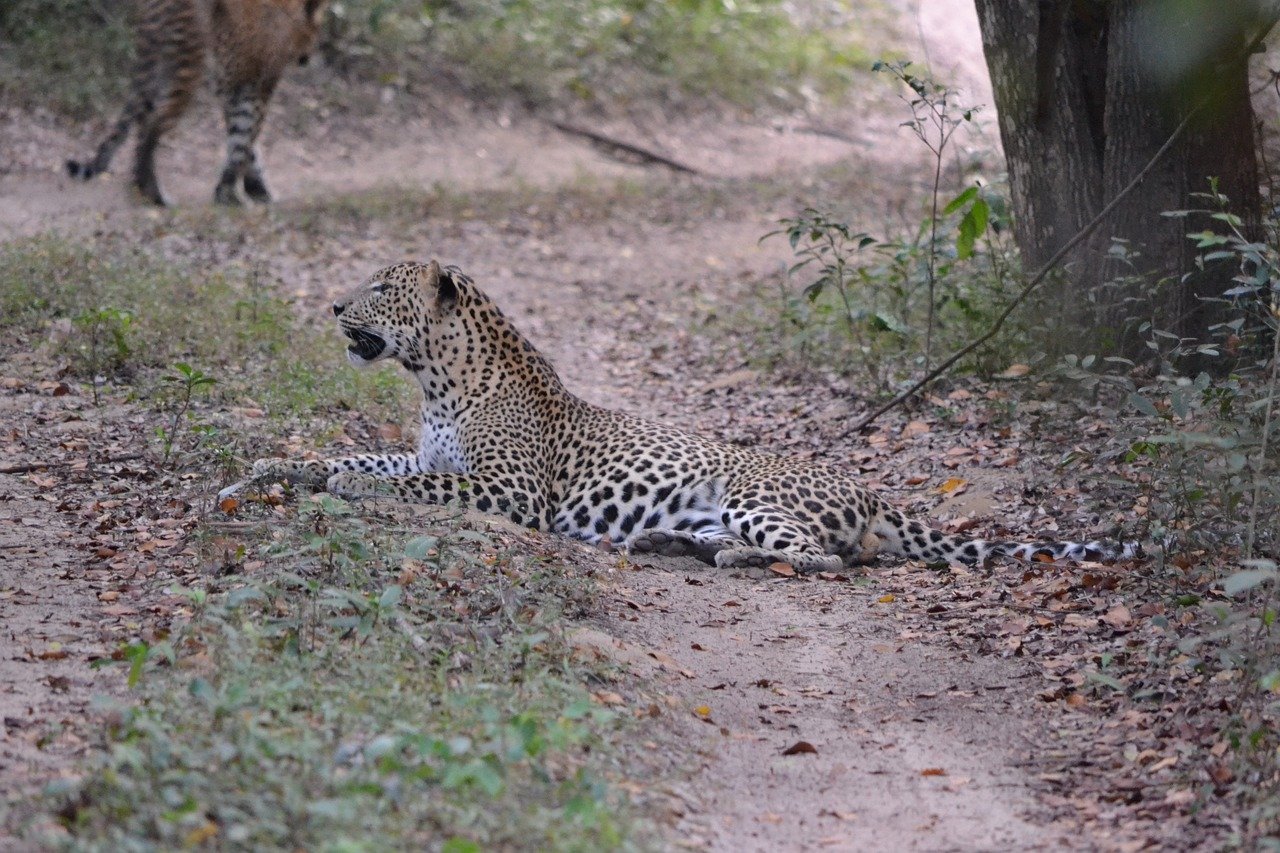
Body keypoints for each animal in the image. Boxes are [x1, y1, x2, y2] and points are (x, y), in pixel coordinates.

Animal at [65, 0, 327, 206]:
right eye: (317, 29)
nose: (308, 57)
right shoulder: (255, 88)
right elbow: (245, 138)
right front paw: (234, 194)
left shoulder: (230, 88)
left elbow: (244, 140)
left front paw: (246, 190)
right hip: (188, 64)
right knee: (153, 125)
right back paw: (155, 195)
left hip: (157, 65)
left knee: (140, 121)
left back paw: (140, 188)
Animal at [220, 256, 1141, 568]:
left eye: (381, 286)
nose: (334, 306)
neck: (437, 379)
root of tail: (877, 493)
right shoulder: (427, 454)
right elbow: (353, 456)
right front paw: (272, 467)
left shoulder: (508, 491)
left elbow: (402, 488)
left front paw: (345, 492)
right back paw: (668, 542)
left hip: (754, 495)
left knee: (825, 558)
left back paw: (727, 556)